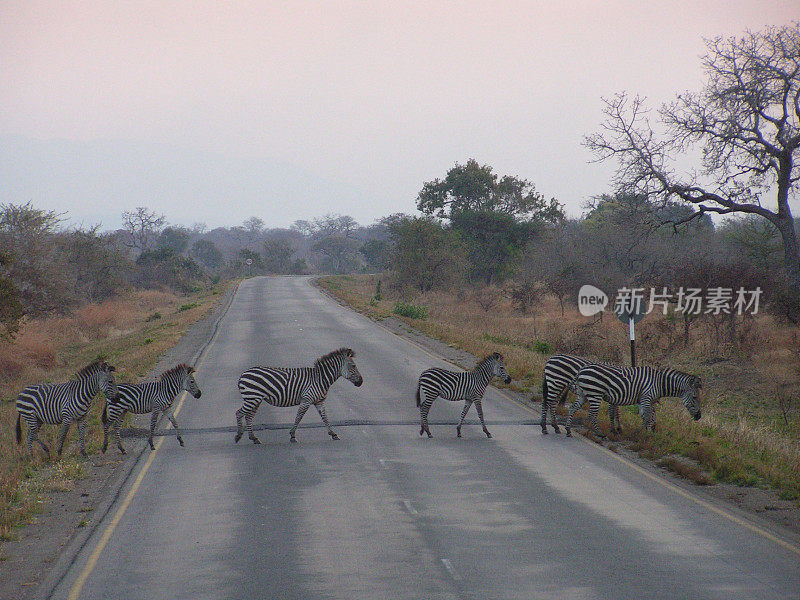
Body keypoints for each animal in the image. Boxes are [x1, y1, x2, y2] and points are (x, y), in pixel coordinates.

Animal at [236, 346, 364, 446]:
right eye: (353, 366)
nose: (361, 382)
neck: (321, 379)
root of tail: (243, 373)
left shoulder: (319, 401)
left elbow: (325, 418)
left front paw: (333, 434)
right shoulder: (306, 399)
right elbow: (299, 417)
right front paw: (292, 436)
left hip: (256, 399)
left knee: (248, 416)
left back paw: (254, 438)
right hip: (252, 398)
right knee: (239, 413)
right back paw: (238, 436)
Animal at [564, 364, 704, 438]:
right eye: (694, 398)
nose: (699, 416)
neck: (659, 383)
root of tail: (581, 370)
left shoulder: (645, 400)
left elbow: (647, 418)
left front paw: (644, 433)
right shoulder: (646, 397)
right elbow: (647, 417)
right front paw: (643, 434)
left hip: (583, 394)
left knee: (572, 408)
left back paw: (568, 429)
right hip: (595, 394)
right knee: (592, 415)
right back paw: (599, 433)